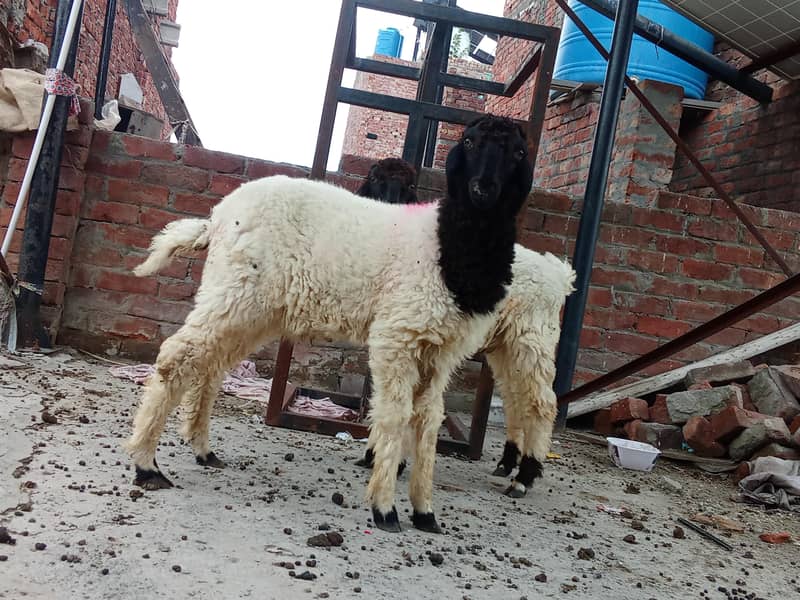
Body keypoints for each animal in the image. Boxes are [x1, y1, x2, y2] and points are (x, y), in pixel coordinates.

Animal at [124, 114, 534, 533]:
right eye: (468, 142)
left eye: (519, 153)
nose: (483, 189)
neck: (451, 249)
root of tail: (216, 218)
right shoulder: (396, 334)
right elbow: (394, 415)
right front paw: (385, 509)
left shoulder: (443, 349)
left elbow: (428, 421)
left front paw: (425, 512)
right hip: (234, 288)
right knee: (178, 356)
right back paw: (147, 465)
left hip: (253, 307)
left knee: (210, 365)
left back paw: (202, 450)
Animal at [355, 157, 575, 498]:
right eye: (374, 178)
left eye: (409, 185)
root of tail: (558, 274)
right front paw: (375, 455)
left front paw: (390, 461)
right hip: (504, 344)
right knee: (515, 399)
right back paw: (507, 462)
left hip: (532, 336)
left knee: (541, 402)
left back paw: (524, 477)